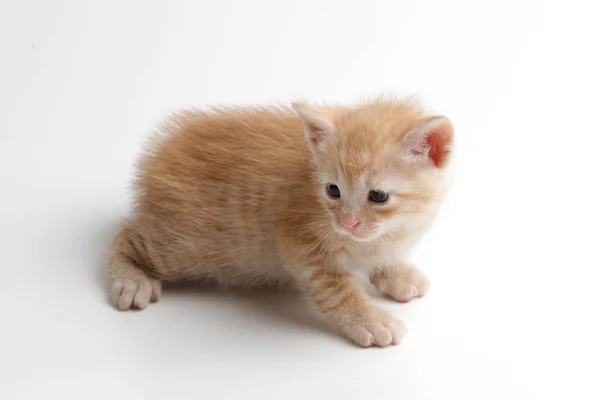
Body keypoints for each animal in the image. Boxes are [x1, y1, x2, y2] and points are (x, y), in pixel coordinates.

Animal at [109, 97, 454, 346]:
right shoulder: (299, 242)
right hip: (184, 246)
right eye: (333, 190)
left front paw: (395, 272)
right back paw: (131, 280)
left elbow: (379, 256)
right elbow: (336, 288)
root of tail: (154, 160)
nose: (347, 223)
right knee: (124, 235)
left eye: (378, 196)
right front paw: (369, 319)